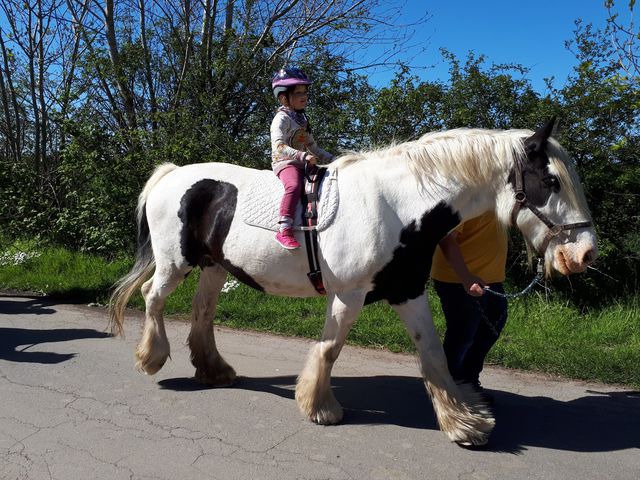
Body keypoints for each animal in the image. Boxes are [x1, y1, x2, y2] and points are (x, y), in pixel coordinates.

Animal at [109, 119, 596, 446]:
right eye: (550, 180)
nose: (585, 254)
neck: (398, 207)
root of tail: (172, 174)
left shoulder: (408, 292)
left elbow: (434, 355)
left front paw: (463, 422)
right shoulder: (350, 293)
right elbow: (329, 349)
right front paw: (320, 407)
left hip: (213, 266)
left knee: (203, 312)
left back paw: (214, 370)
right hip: (175, 263)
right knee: (153, 299)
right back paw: (152, 358)